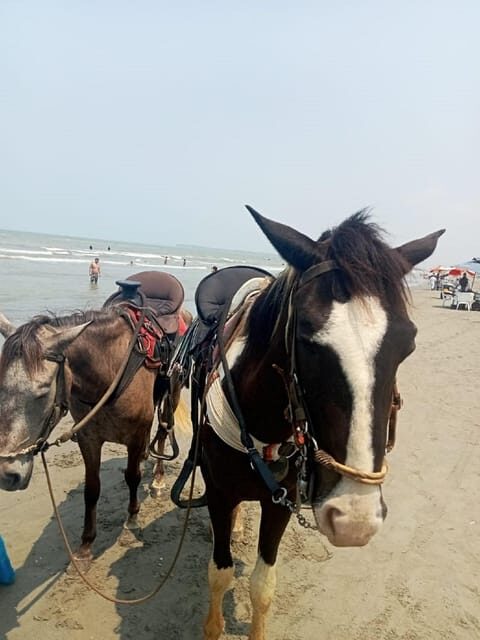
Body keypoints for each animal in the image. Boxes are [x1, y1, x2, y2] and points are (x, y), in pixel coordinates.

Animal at [0, 271, 189, 568]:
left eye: (43, 392)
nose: (7, 475)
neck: (110, 369)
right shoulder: (88, 438)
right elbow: (92, 489)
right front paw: (85, 545)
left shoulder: (135, 436)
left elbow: (132, 477)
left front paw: (131, 520)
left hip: (173, 394)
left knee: (162, 433)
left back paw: (158, 480)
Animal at [189, 207, 444, 640]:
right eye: (306, 339)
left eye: (407, 344)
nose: (354, 520)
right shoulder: (220, 494)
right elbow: (218, 575)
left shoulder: (281, 500)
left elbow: (262, 586)